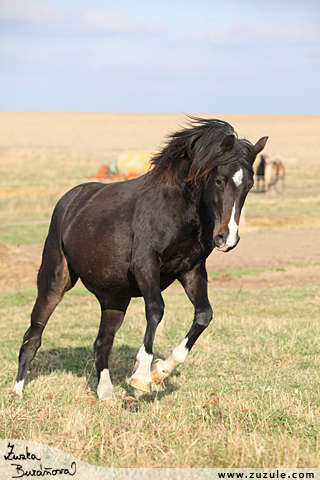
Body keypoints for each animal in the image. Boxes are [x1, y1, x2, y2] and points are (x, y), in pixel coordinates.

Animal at [12, 117, 268, 402]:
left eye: (250, 185)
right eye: (220, 180)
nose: (227, 238)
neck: (176, 207)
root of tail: (70, 200)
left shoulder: (191, 270)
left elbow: (204, 315)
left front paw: (161, 370)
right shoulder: (146, 264)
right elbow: (156, 309)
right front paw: (142, 376)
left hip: (114, 298)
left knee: (102, 343)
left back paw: (106, 396)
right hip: (55, 282)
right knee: (32, 338)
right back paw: (16, 393)